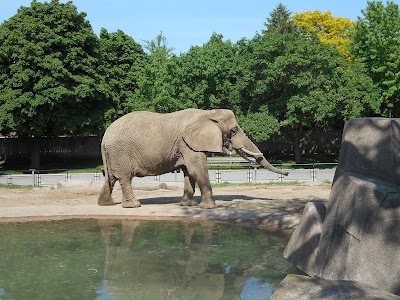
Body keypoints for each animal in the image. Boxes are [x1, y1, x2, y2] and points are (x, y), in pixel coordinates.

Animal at [98, 108, 290, 209]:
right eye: (234, 130)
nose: (287, 173)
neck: (209, 113)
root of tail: (104, 136)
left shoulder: (186, 147)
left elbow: (188, 172)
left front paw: (187, 206)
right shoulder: (188, 144)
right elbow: (198, 169)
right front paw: (210, 208)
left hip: (113, 154)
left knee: (111, 178)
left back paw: (106, 204)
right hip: (121, 152)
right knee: (124, 177)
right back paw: (133, 205)